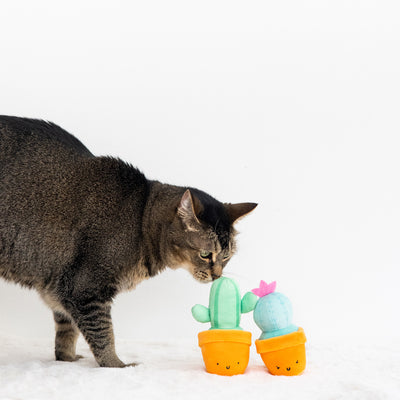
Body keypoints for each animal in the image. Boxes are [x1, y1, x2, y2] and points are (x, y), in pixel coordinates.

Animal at [0, 115, 256, 366]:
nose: (217, 276)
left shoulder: (59, 291)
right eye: (205, 254)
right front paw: (117, 364)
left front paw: (67, 360)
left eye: (226, 256)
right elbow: (103, 333)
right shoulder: (84, 289)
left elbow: (66, 330)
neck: (141, 215)